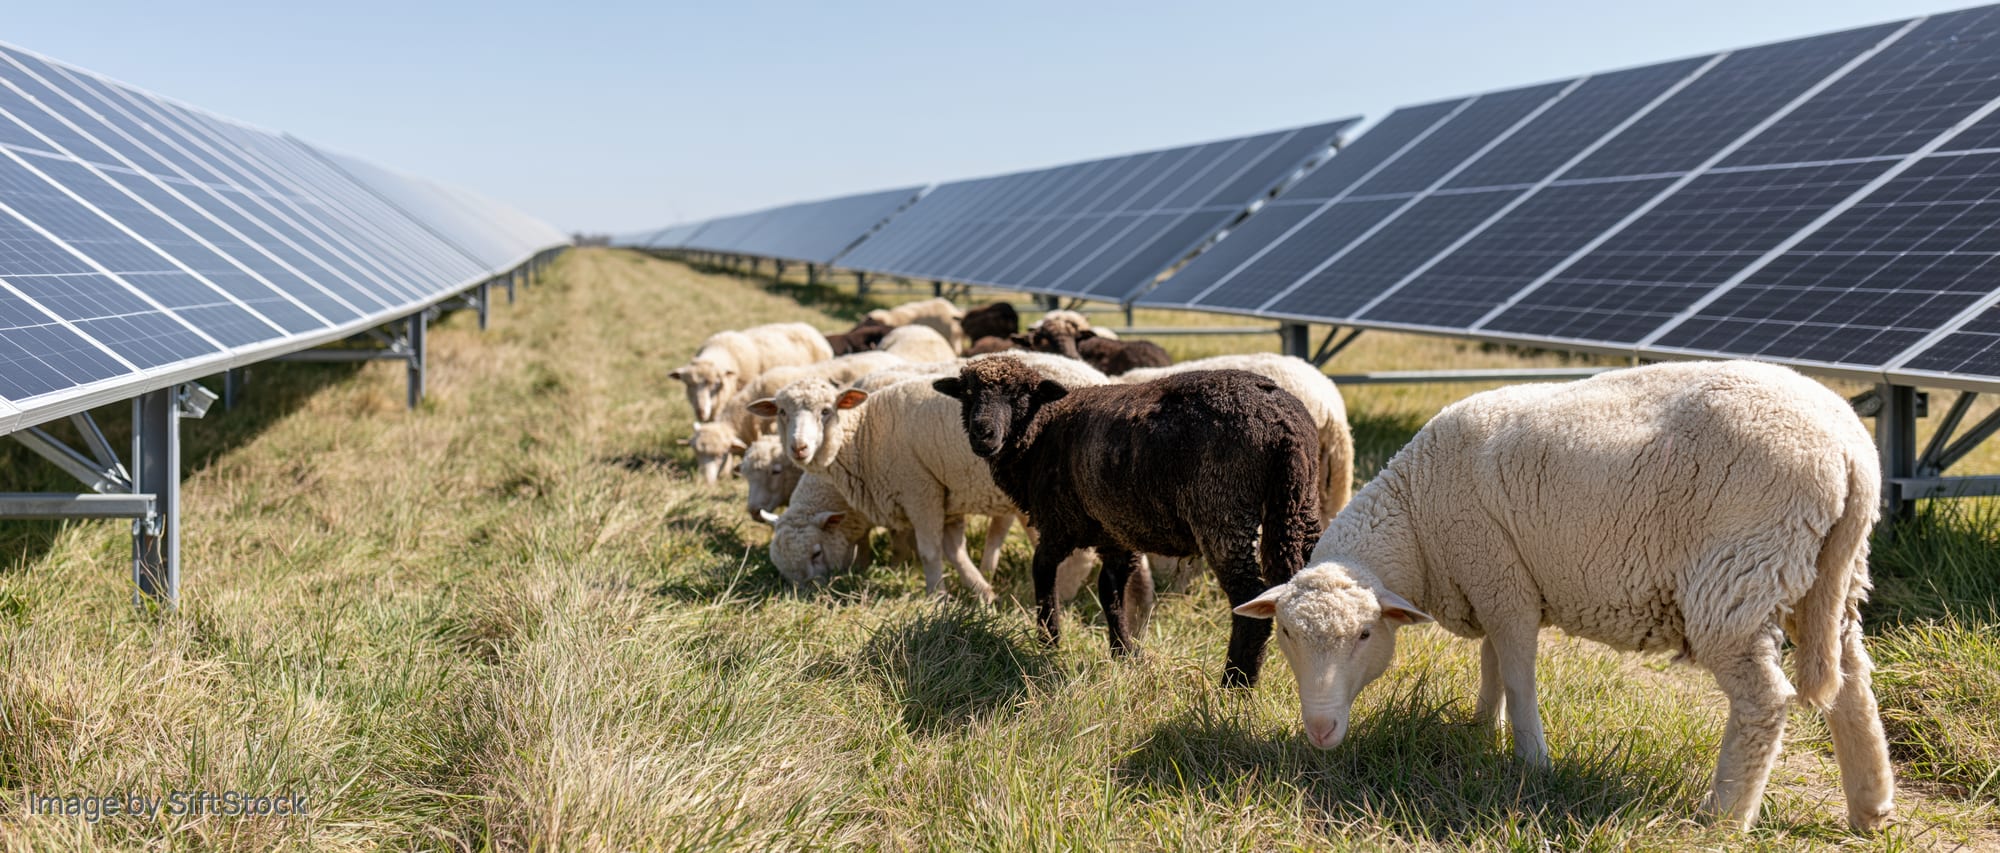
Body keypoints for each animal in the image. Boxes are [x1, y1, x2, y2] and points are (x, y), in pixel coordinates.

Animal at [933, 358, 1322, 686]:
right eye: (968, 394)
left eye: (1019, 396)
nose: (982, 433)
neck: (1042, 435)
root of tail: (1282, 426)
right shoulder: (1117, 531)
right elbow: (1111, 590)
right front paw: (1125, 653)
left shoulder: (1058, 523)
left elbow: (1042, 571)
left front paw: (1049, 640)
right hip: (1298, 505)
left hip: (1223, 510)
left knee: (1248, 596)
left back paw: (1235, 685)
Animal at [1232, 360, 1894, 832]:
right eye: (1286, 633)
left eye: (1366, 634)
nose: (1320, 731)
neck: (1417, 520)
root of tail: (1851, 450)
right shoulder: (1492, 580)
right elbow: (1492, 664)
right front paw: (1481, 727)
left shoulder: (1502, 580)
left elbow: (1518, 672)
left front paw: (1531, 761)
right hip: (1825, 575)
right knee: (1851, 680)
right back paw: (1870, 807)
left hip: (1741, 572)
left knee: (1763, 699)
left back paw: (1724, 817)